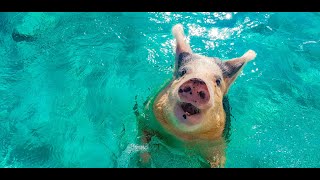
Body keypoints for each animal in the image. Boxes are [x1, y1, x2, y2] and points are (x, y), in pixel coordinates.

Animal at [136, 23, 256, 167]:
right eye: (182, 72)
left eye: (218, 81)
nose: (198, 82)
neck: (182, 137)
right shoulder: (146, 117)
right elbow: (142, 139)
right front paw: (145, 162)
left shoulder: (218, 144)